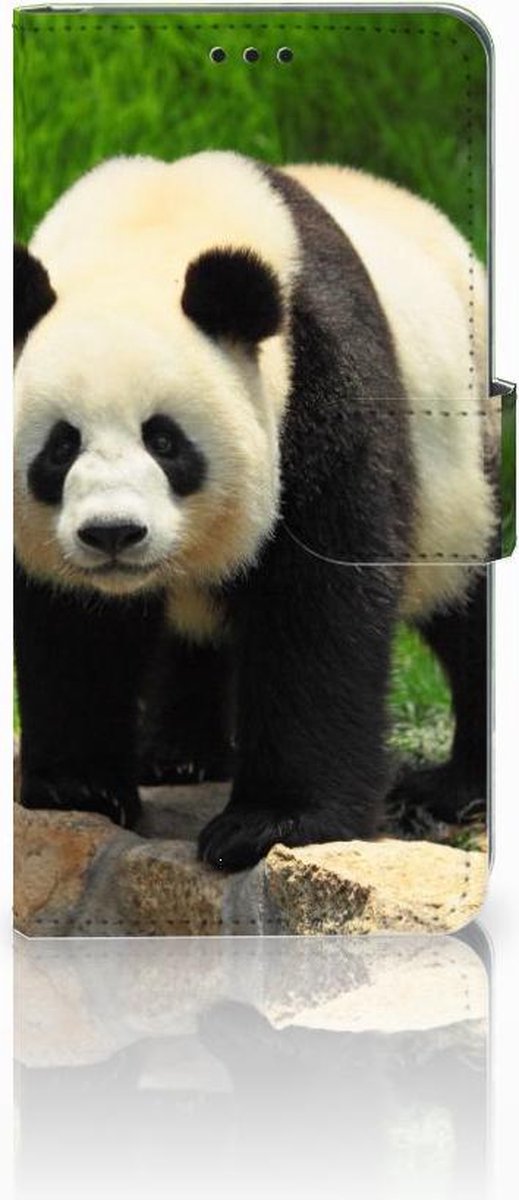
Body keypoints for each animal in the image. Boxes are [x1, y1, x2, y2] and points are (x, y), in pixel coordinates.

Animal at [14, 151, 498, 871]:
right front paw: (80, 786)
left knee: (465, 603)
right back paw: (179, 755)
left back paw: (453, 787)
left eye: (165, 441)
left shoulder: (318, 380)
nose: (113, 534)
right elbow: (70, 621)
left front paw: (270, 823)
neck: (148, 234)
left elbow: (319, 603)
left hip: (463, 475)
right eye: (60, 446)